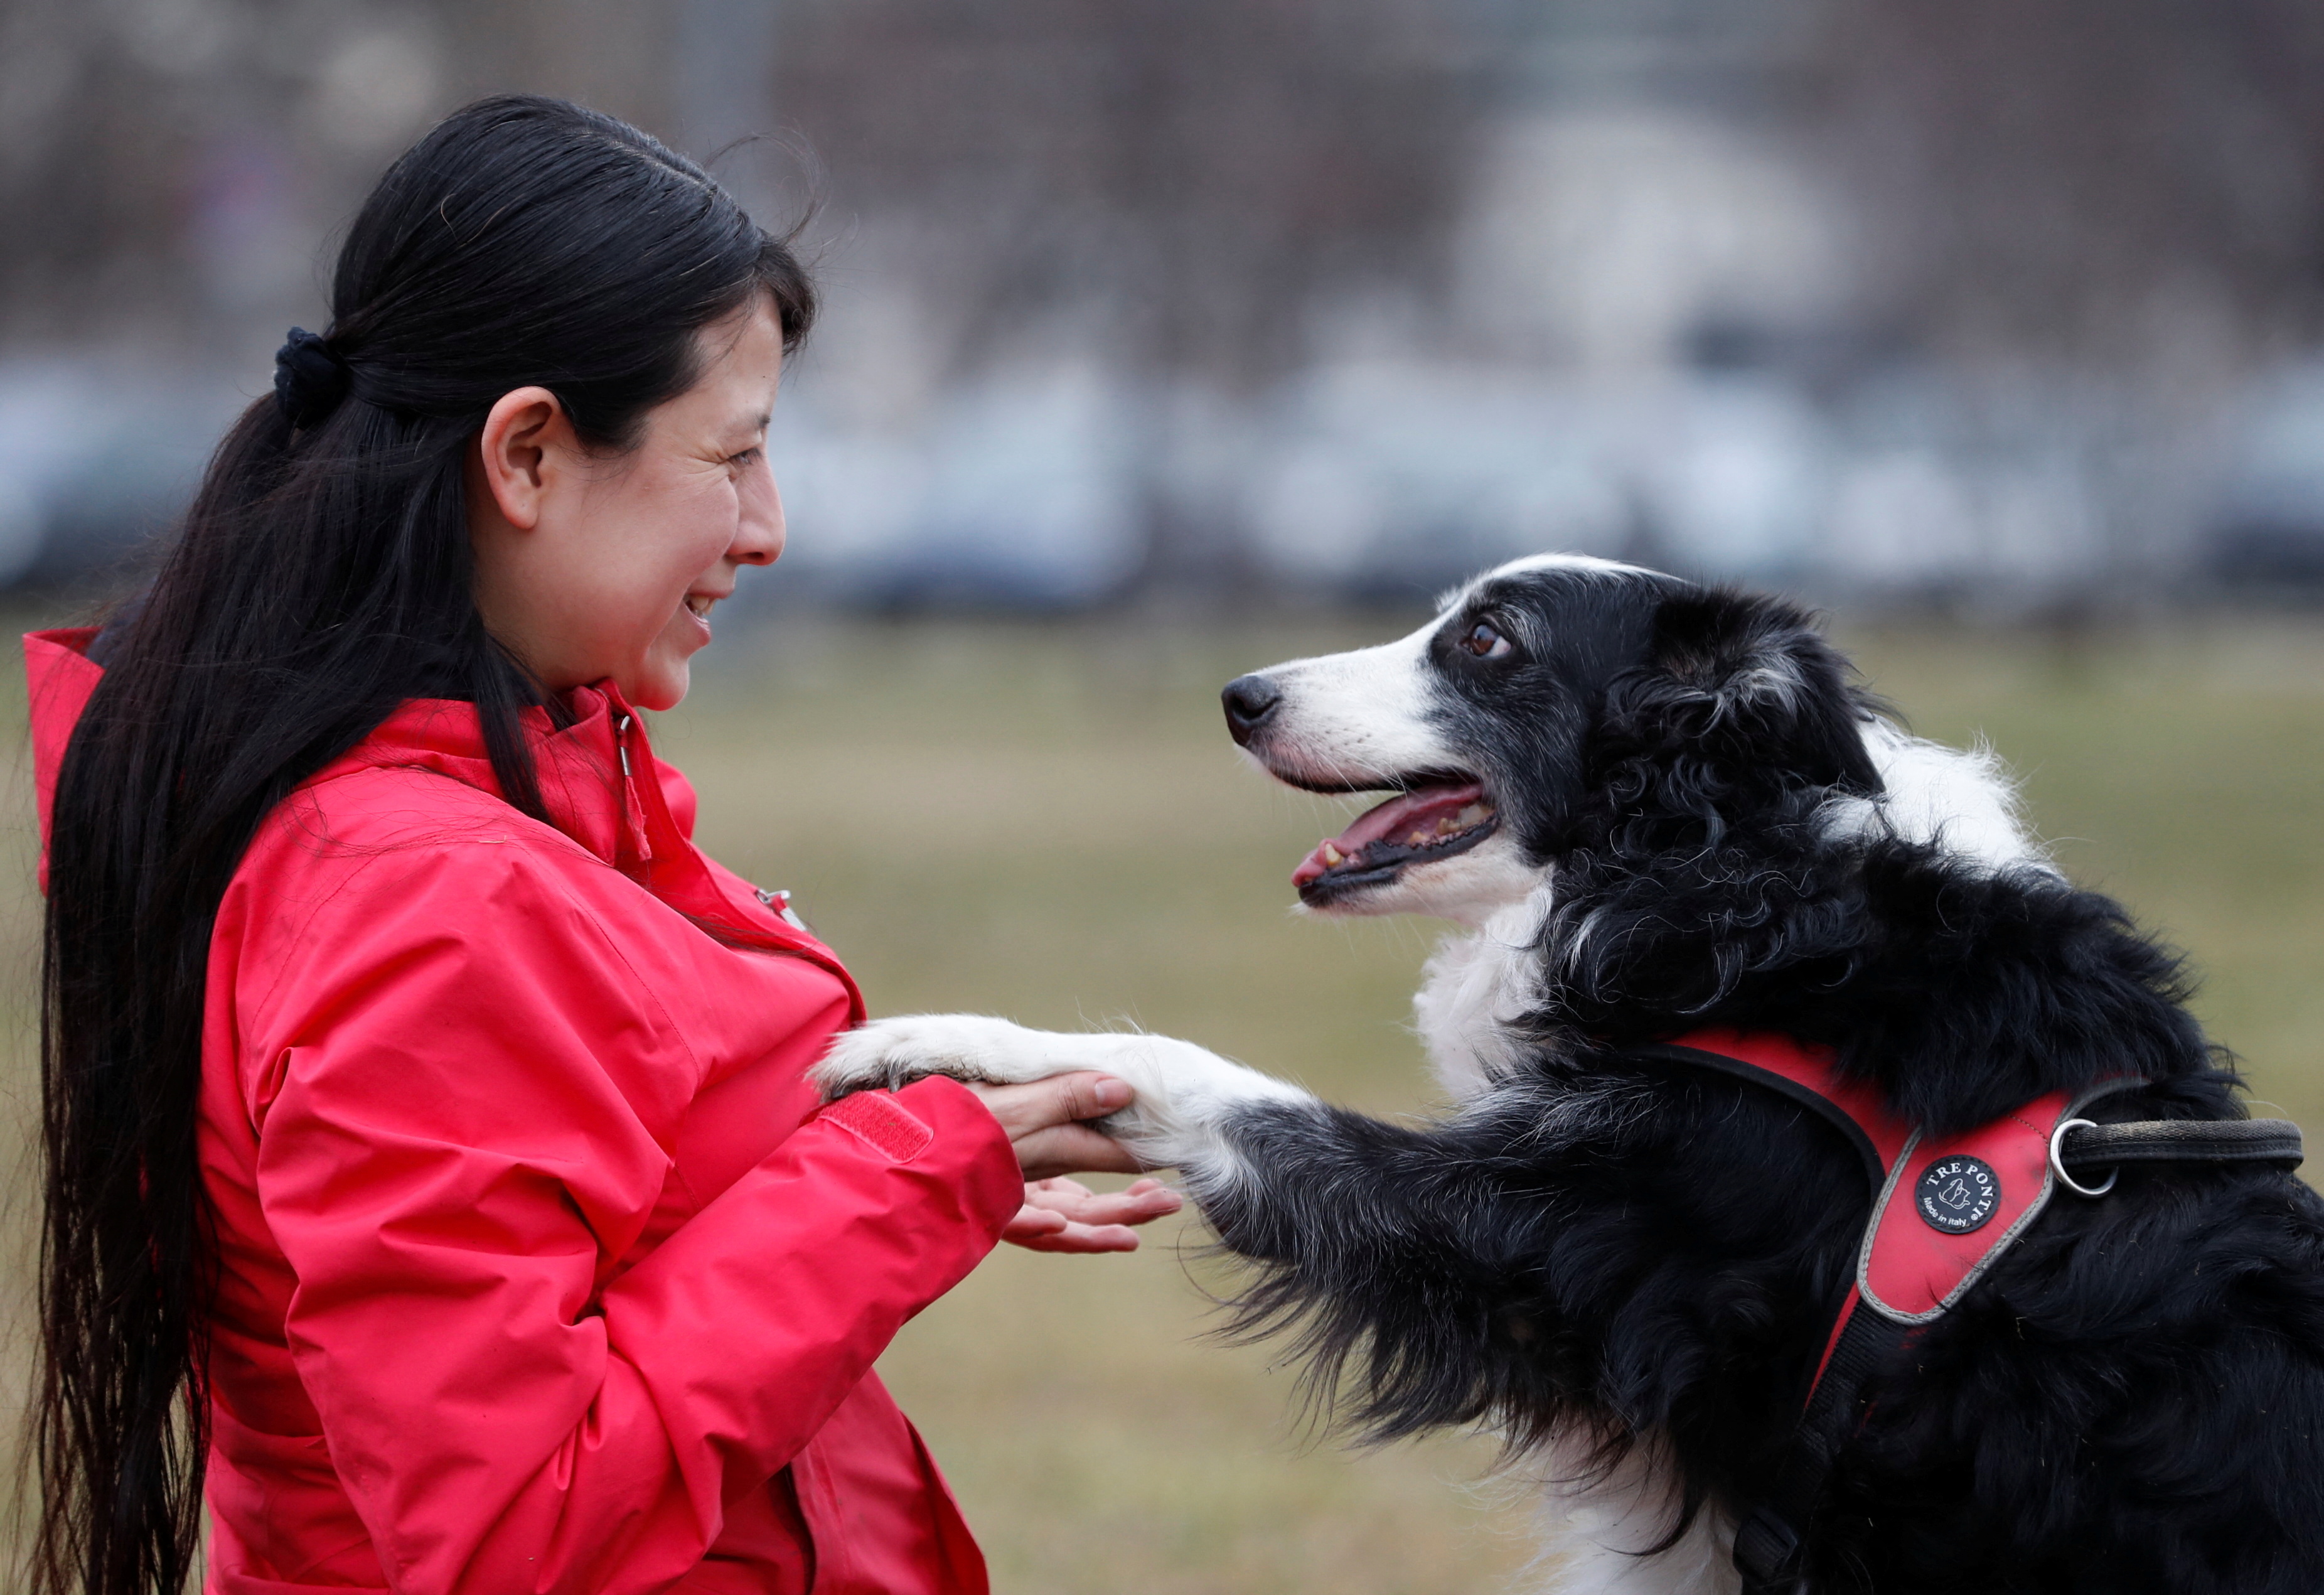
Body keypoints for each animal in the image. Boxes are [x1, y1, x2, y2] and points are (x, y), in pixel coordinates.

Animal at [822, 556, 2324, 1590]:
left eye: (1487, 641)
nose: (1240, 697)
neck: (1728, 879)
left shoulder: (1562, 1227)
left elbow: (1197, 1073)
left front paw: (937, 1041)